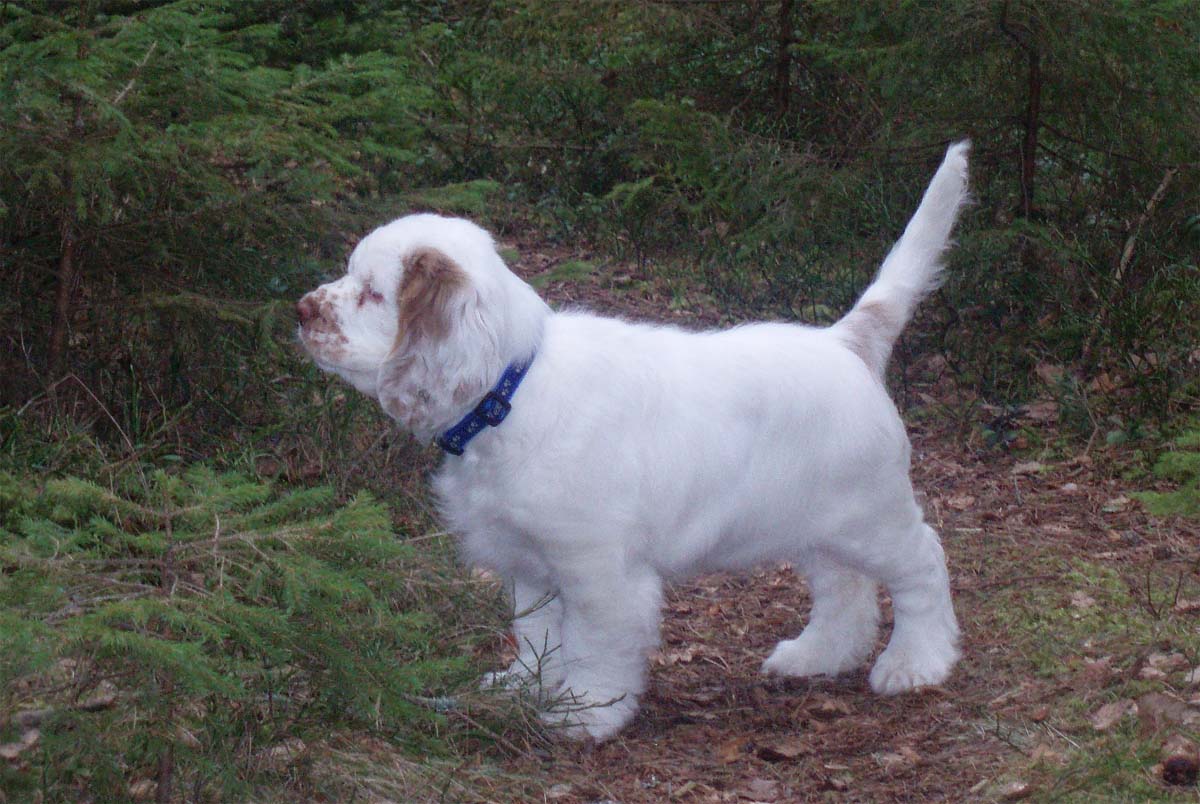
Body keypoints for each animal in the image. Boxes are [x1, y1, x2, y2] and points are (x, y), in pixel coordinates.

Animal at [297, 142, 970, 740]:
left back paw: (916, 662)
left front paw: (583, 713)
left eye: (373, 293)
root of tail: (845, 341)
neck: (510, 394)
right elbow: (536, 634)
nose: (301, 309)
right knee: (842, 587)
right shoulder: (531, 562)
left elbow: (593, 648)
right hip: (812, 520)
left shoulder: (598, 568)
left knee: (922, 565)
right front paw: (521, 687)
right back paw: (817, 655)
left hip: (870, 515)